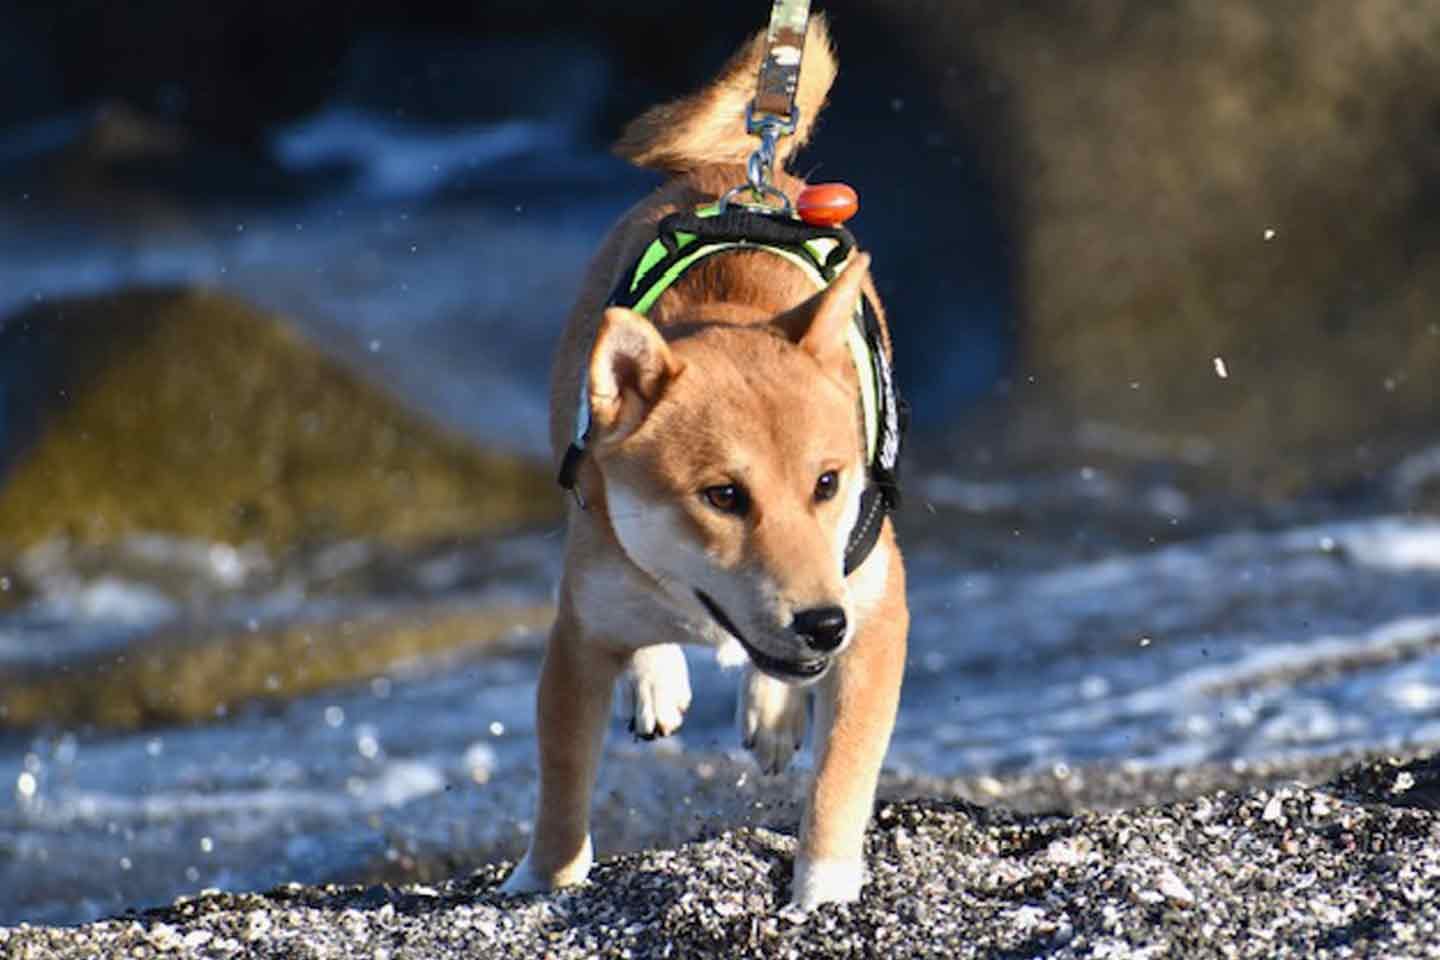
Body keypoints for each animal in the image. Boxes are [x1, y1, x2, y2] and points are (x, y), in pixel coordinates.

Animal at [504, 18, 910, 915]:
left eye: (828, 484)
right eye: (723, 495)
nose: (821, 623)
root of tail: (737, 176)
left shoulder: (875, 614)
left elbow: (842, 777)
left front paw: (823, 892)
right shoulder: (580, 629)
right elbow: (562, 778)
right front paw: (543, 878)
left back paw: (774, 710)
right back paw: (662, 680)